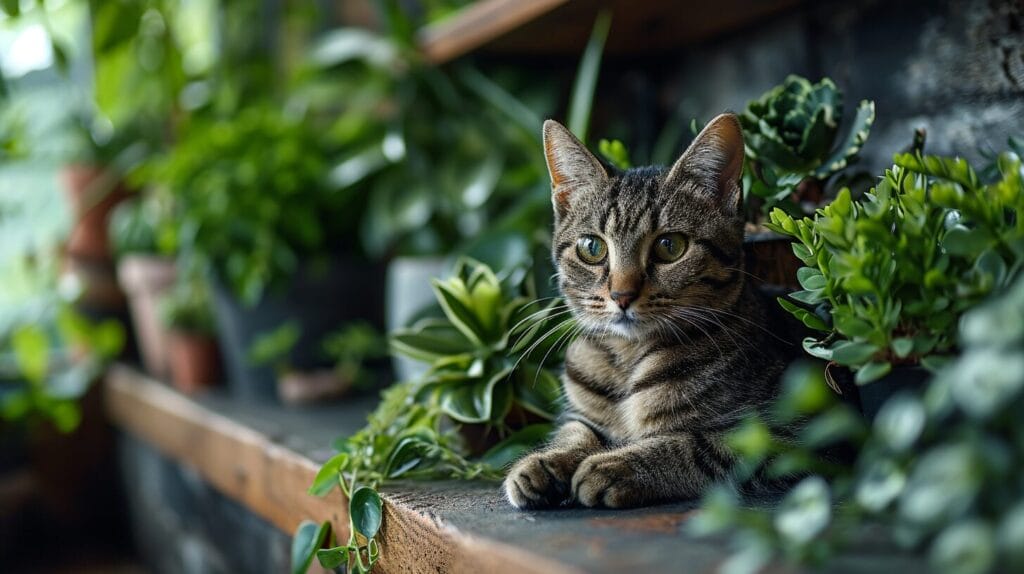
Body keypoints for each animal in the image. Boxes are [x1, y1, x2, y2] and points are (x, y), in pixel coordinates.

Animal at [503, 114, 790, 507]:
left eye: (670, 246)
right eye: (592, 247)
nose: (622, 295)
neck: (628, 359)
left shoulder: (786, 435)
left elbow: (700, 446)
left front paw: (617, 465)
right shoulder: (579, 413)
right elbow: (574, 430)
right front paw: (545, 461)